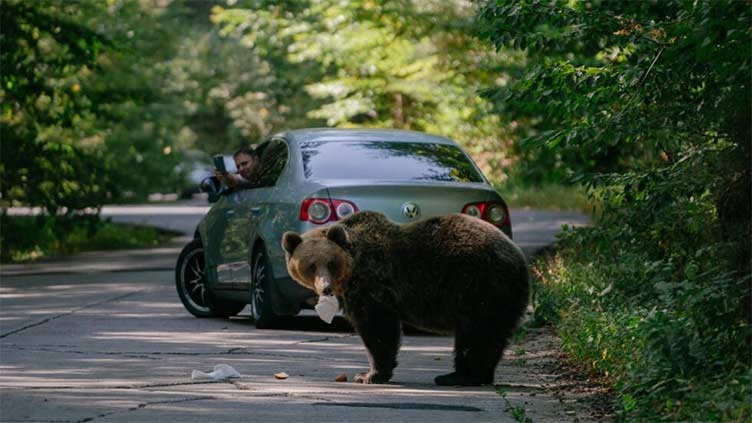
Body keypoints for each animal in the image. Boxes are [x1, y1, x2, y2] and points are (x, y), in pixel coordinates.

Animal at [280, 212, 528, 388]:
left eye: (331, 263)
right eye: (311, 266)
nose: (326, 287)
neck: (351, 272)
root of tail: (519, 257)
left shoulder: (373, 285)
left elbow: (378, 328)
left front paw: (369, 374)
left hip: (480, 286)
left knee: (476, 333)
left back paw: (460, 376)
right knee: (488, 336)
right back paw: (471, 375)